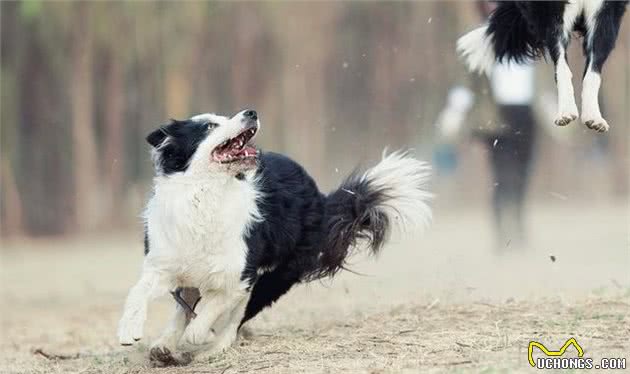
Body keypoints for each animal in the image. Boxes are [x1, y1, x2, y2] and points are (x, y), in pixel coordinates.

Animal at [117, 109, 434, 366]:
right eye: (208, 126)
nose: (251, 112)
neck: (206, 194)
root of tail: (320, 197)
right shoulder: (165, 261)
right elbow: (139, 291)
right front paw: (129, 329)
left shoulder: (240, 275)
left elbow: (212, 308)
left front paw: (199, 337)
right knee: (186, 307)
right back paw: (164, 346)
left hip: (278, 275)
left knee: (236, 316)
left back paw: (212, 347)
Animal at [460, 0, 628, 133]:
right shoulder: (552, 15)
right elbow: (563, 69)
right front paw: (566, 112)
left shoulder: (605, 12)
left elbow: (592, 73)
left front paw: (593, 117)